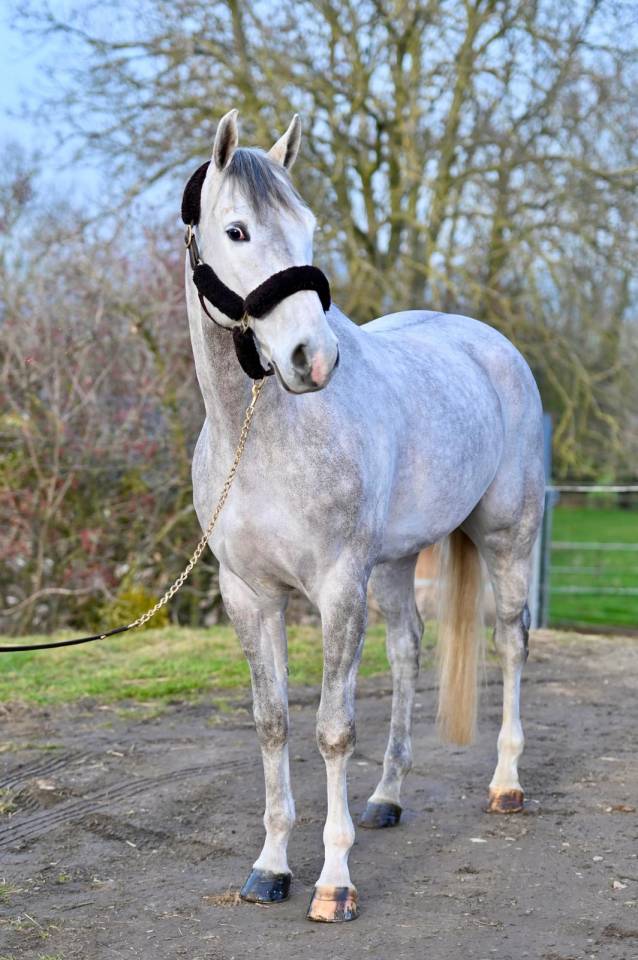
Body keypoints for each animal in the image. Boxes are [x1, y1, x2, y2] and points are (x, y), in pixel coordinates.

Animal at [185, 109, 545, 922]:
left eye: (308, 226)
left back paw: (506, 784)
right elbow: (273, 723)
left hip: (507, 537)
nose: (311, 359)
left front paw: (334, 882)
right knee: (409, 650)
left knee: (511, 643)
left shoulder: (337, 589)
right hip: (396, 564)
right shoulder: (250, 597)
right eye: (237, 230)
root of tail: (493, 345)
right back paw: (387, 797)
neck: (263, 437)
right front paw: (270, 867)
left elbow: (333, 729)